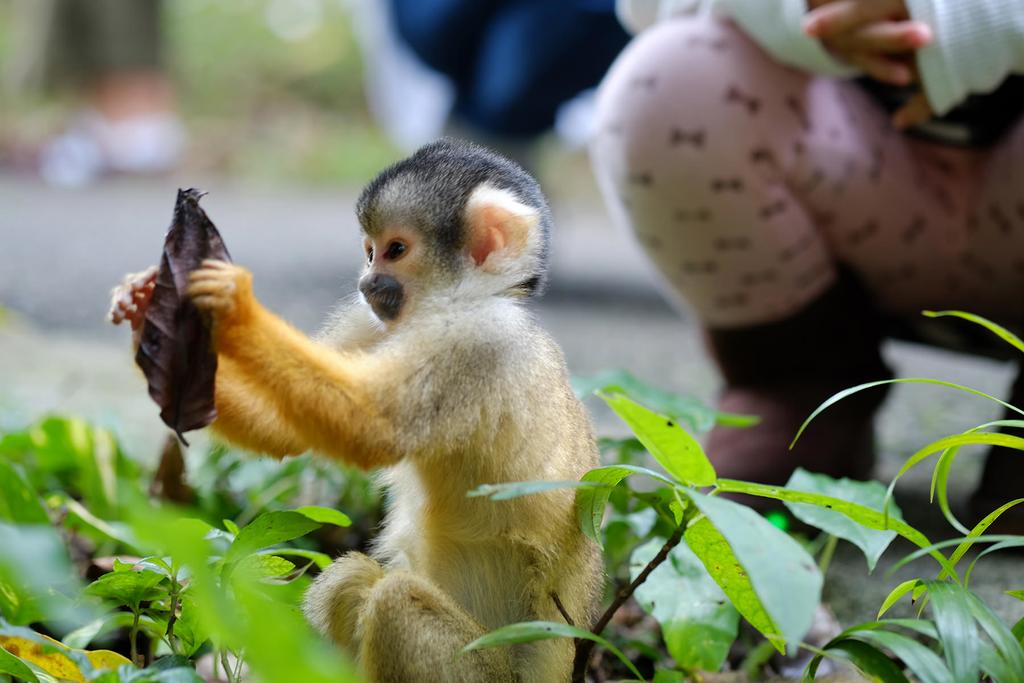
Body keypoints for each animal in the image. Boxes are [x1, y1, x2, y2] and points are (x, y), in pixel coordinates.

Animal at [110, 140, 606, 683]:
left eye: (396, 250)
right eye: (369, 250)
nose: (367, 281)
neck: (463, 300)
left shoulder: (477, 343)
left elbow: (372, 429)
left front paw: (234, 305)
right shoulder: (374, 321)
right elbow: (287, 430)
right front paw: (142, 310)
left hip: (488, 674)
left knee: (395, 598)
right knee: (352, 581)